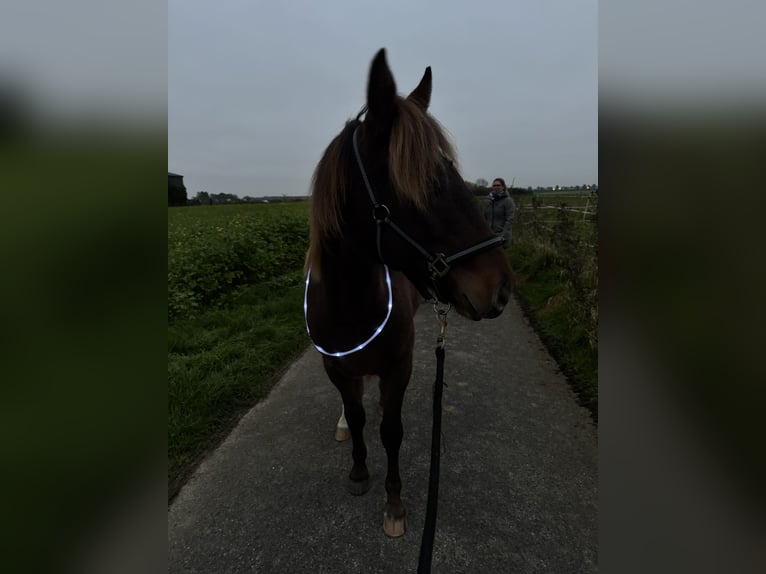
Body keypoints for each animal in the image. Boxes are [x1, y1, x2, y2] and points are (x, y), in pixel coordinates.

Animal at [304, 49, 512, 540]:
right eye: (419, 180)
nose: (499, 288)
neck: (352, 307)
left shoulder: (398, 365)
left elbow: (391, 430)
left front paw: (394, 502)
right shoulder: (334, 366)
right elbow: (356, 416)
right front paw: (359, 471)